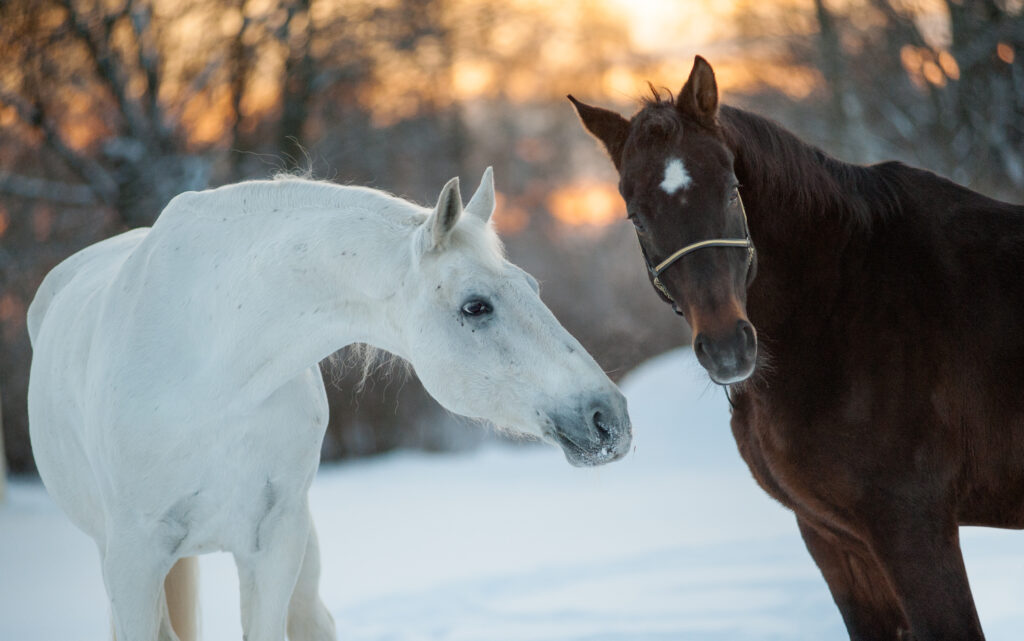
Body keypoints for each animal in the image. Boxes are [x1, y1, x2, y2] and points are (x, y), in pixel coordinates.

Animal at [25, 169, 630, 638]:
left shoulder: (275, 544)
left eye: (532, 286)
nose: (610, 418)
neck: (213, 370)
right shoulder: (133, 561)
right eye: (476, 306)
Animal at [573, 57, 1024, 634]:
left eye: (730, 189)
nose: (728, 347)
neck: (843, 304)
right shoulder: (834, 538)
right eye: (636, 215)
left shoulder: (912, 527)